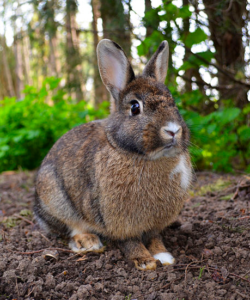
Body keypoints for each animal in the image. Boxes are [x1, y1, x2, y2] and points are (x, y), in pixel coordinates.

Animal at [34, 38, 192, 270]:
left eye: (173, 103)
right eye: (135, 107)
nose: (173, 130)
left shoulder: (154, 224)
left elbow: (154, 238)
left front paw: (163, 256)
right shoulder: (118, 221)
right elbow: (130, 241)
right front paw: (145, 261)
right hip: (54, 197)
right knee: (70, 228)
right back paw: (88, 242)